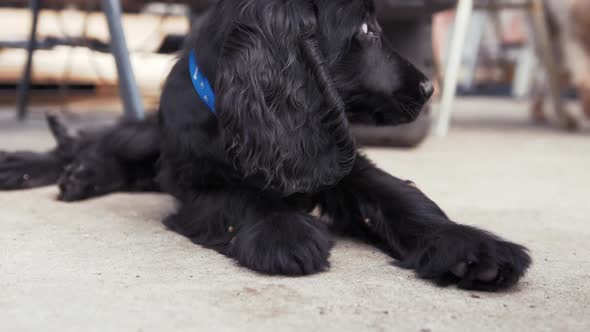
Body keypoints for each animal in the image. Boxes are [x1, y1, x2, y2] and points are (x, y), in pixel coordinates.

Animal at [2, 0, 532, 290]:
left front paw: (470, 246)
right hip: (152, 139)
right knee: (102, 143)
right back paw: (45, 169)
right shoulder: (197, 180)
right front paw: (285, 232)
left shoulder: (334, 152)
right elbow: (244, 196)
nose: (428, 88)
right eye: (364, 30)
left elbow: (397, 195)